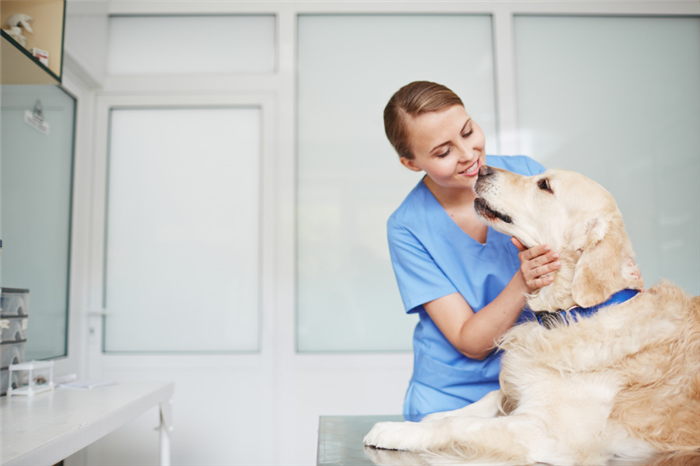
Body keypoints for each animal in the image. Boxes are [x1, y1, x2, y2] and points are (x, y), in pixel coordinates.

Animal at [364, 167, 696, 466]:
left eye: (544, 185)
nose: (482, 169)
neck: (572, 314)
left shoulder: (552, 435)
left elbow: (459, 425)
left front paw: (396, 430)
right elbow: (486, 399)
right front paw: (430, 415)